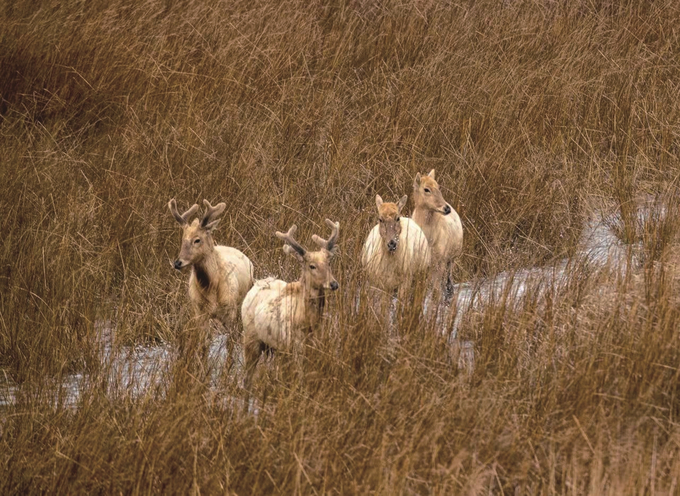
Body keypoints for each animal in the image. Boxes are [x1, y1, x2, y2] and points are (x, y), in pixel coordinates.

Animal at [169, 199, 254, 334]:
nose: (177, 263)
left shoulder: (230, 309)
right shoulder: (199, 311)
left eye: (197, 240)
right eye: (183, 239)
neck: (211, 288)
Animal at [243, 219, 342, 386]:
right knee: (248, 372)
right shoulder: (296, 345)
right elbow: (300, 377)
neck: (309, 322)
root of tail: (255, 284)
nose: (333, 284)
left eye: (329, 262)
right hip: (250, 337)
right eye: (312, 266)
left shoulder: (316, 344)